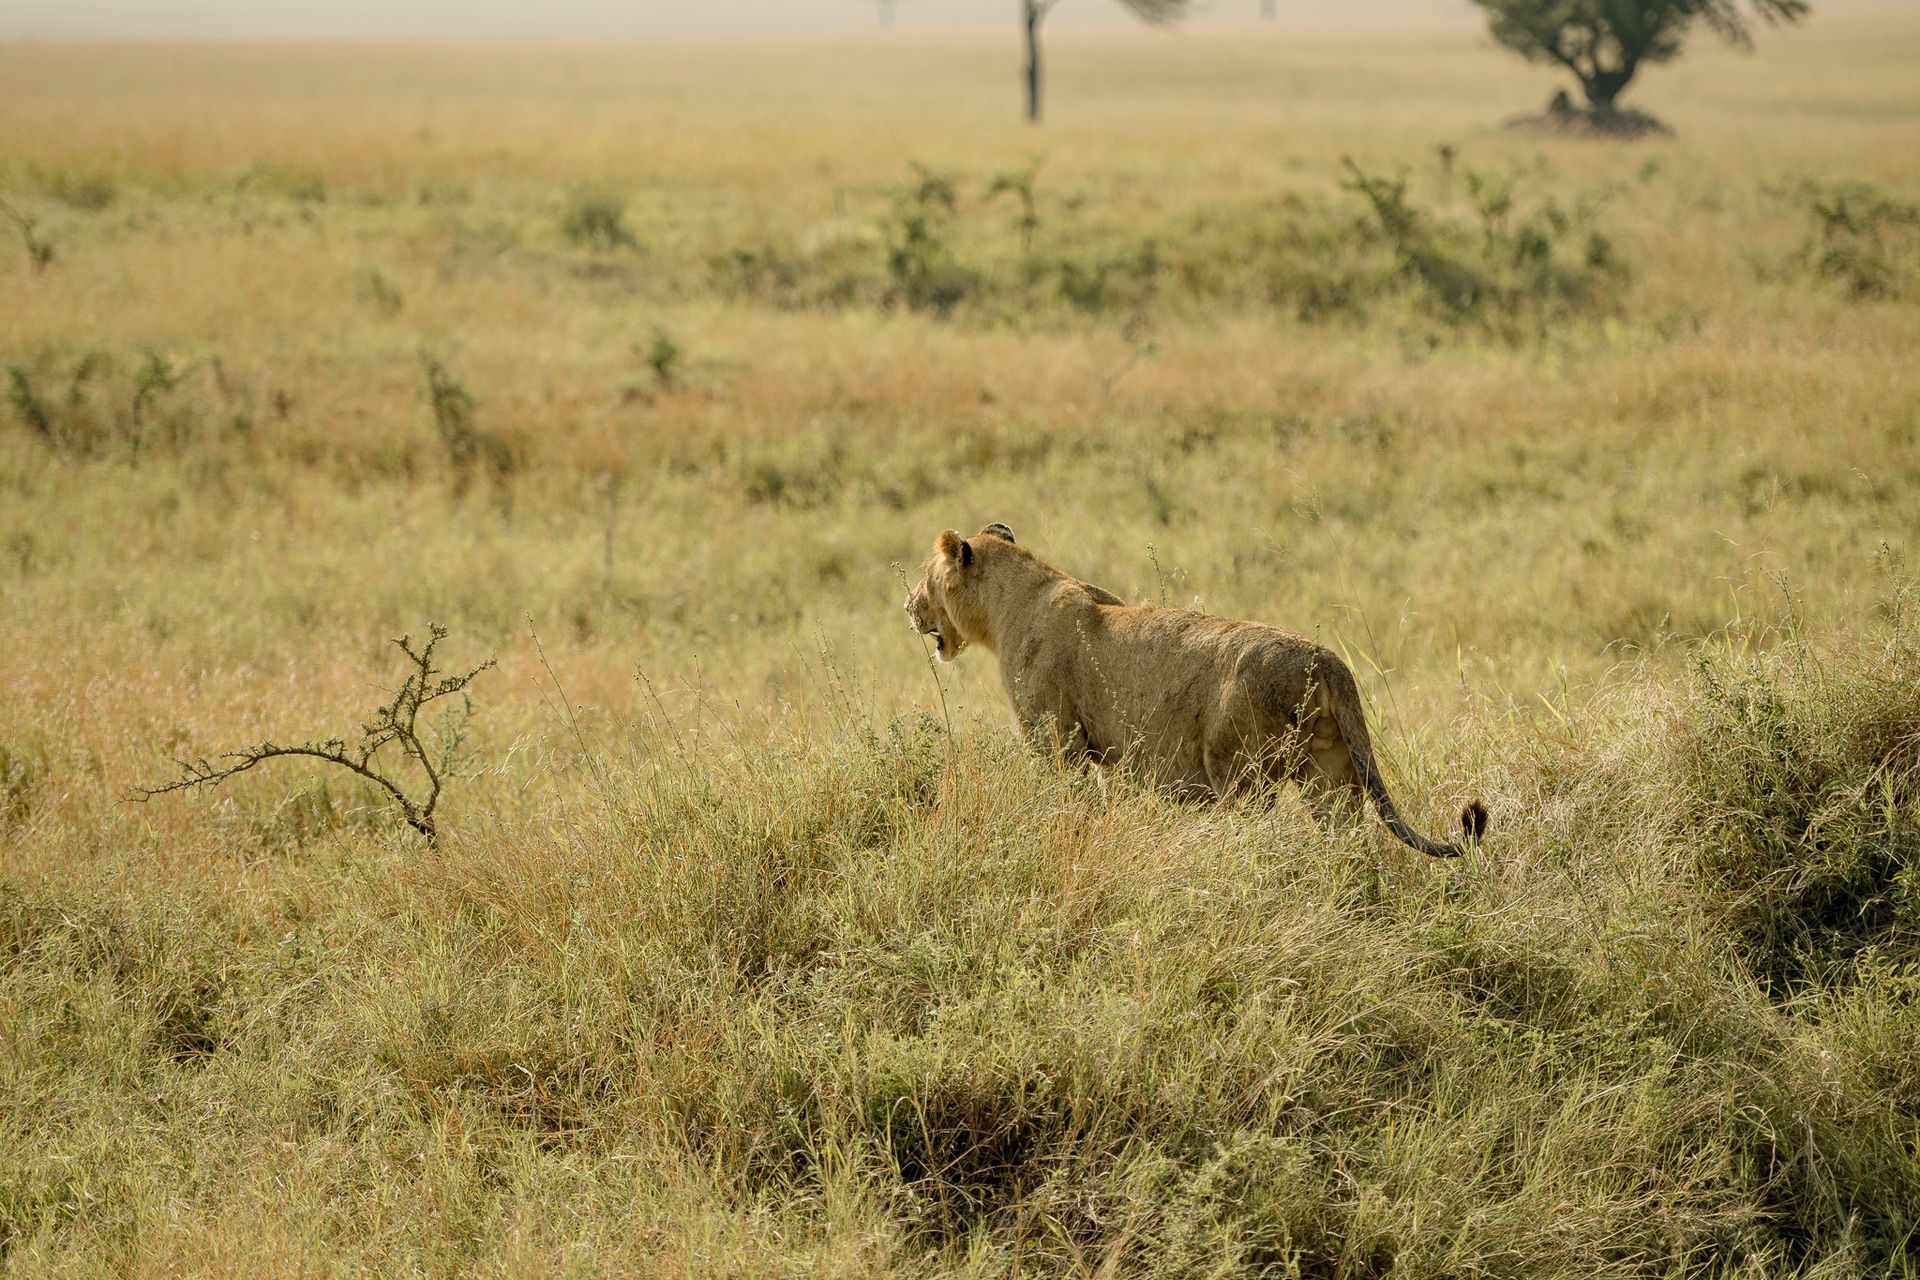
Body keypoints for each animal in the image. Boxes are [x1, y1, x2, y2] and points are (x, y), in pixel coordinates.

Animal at [905, 522, 1488, 858]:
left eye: (927, 578)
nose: (908, 606)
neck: (1010, 604)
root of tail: (1326, 662)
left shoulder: (1058, 741)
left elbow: (1064, 801)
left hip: (1237, 771)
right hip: (1333, 775)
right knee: (1345, 836)